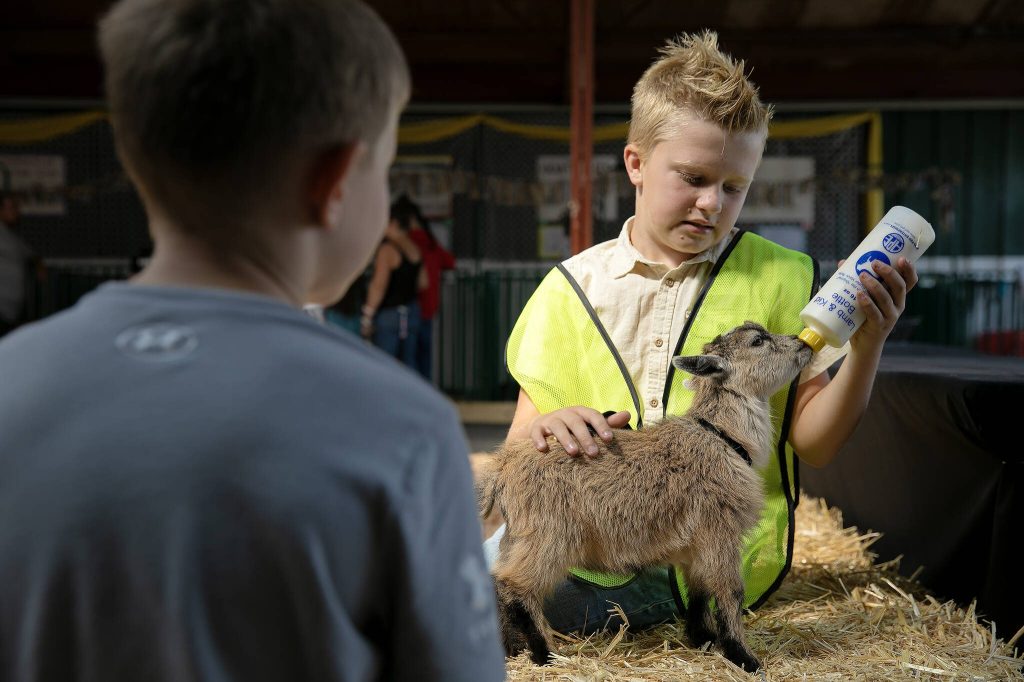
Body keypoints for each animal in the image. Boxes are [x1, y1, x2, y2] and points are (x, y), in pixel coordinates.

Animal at [477, 321, 813, 672]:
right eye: (758, 340)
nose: (803, 342)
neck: (723, 437)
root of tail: (502, 467)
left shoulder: (696, 545)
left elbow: (698, 590)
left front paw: (703, 639)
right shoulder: (718, 529)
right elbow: (729, 591)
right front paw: (742, 657)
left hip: (521, 535)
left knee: (497, 580)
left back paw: (511, 648)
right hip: (548, 535)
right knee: (515, 587)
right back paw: (545, 654)